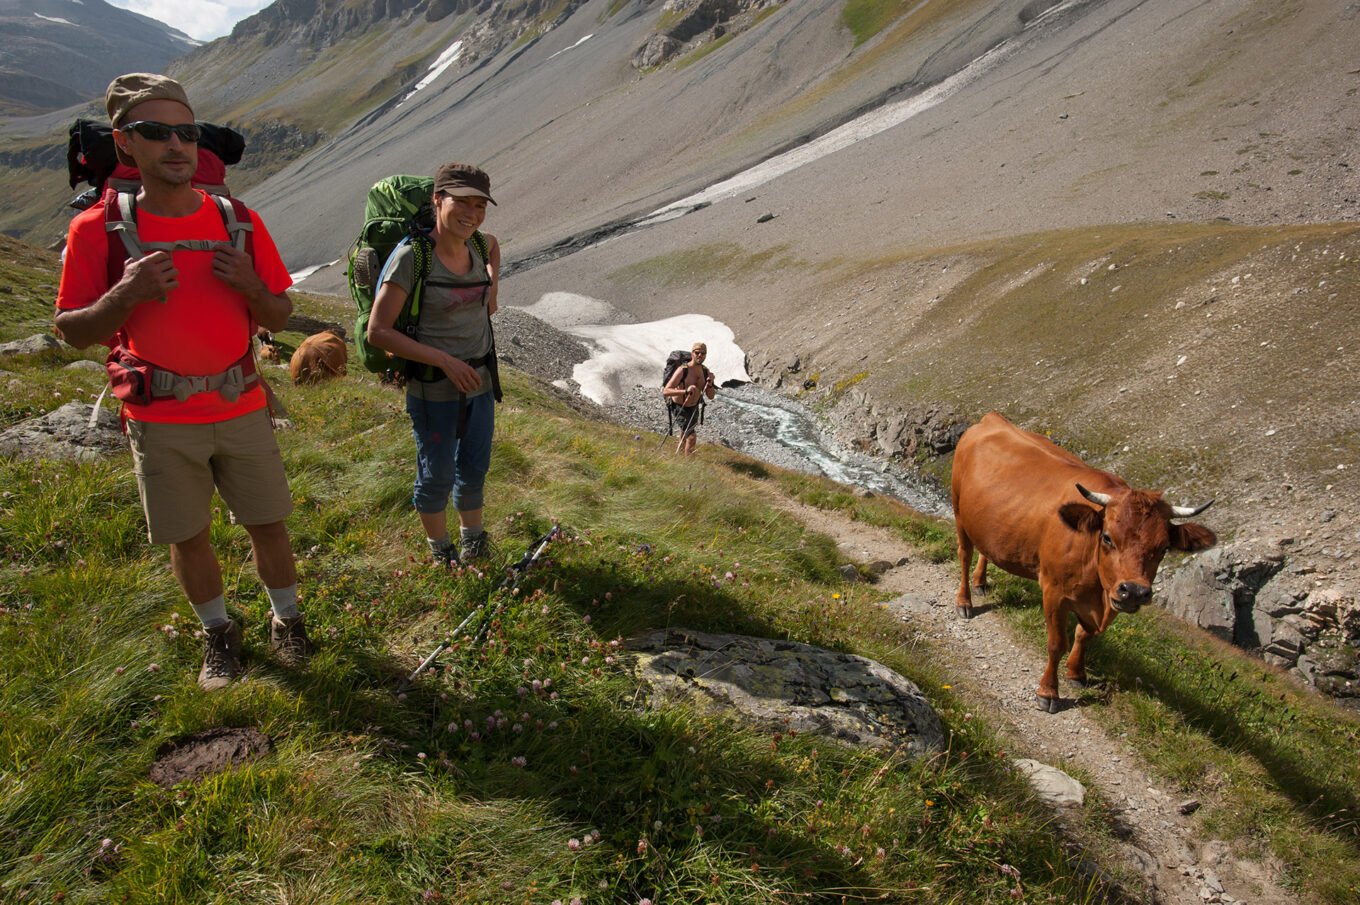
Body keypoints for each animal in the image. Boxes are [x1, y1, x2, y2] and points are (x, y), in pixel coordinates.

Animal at [952, 410, 1218, 713]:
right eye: (1107, 537)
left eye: (1163, 549)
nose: (1134, 591)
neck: (1096, 589)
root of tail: (992, 418)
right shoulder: (1054, 591)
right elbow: (1057, 643)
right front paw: (1048, 692)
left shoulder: (1112, 597)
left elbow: (1085, 634)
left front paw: (1076, 673)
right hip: (959, 510)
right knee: (964, 554)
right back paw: (964, 602)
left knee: (985, 548)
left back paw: (980, 582)